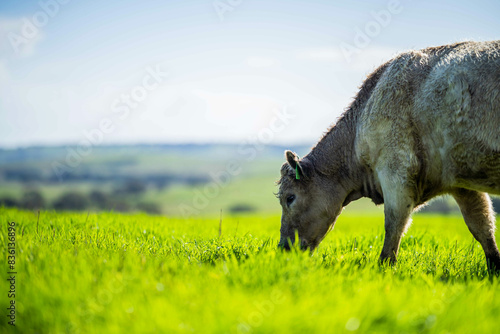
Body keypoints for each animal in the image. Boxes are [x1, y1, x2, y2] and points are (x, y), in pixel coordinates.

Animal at [276, 40, 500, 270]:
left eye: (289, 198)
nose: (283, 248)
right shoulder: (461, 184)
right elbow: (481, 225)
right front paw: (495, 267)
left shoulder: (395, 172)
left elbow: (394, 223)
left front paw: (384, 265)